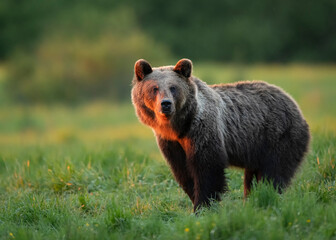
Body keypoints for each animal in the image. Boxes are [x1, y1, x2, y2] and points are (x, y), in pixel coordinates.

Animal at [131, 58, 310, 212]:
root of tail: (293, 103)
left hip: (279, 136)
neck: (180, 127)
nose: (166, 104)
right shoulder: (171, 143)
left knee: (273, 173)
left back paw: (267, 197)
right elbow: (183, 172)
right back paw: (253, 200)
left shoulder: (203, 130)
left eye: (173, 87)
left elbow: (208, 169)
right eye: (154, 88)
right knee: (252, 178)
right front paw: (196, 199)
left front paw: (202, 206)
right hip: (257, 148)